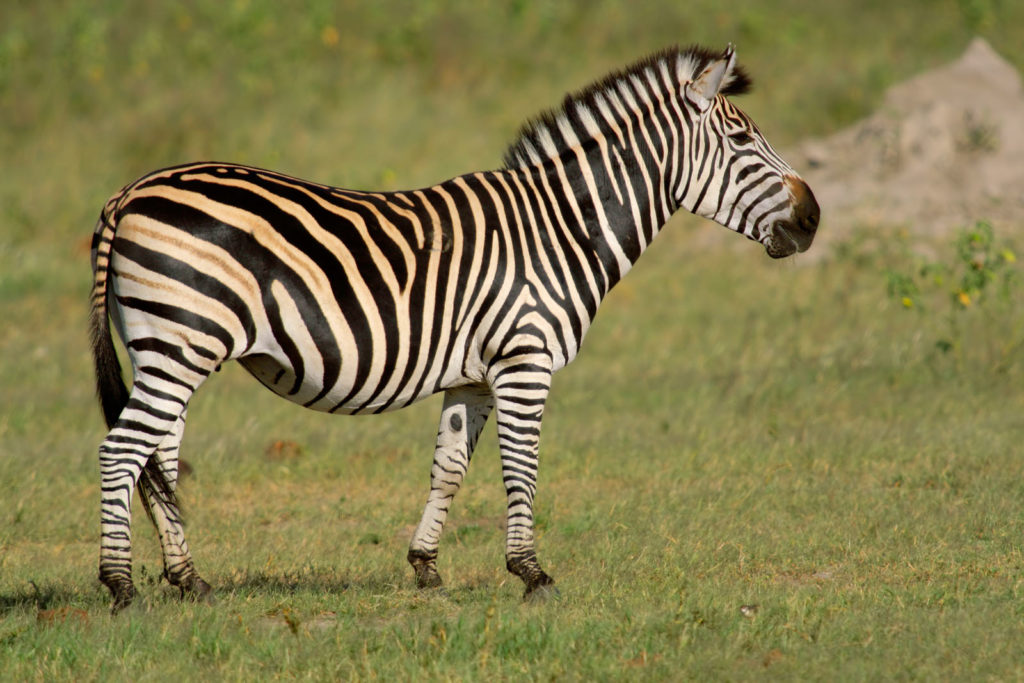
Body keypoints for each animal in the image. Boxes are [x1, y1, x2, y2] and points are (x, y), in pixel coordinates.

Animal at [90, 45, 823, 610]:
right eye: (741, 141)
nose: (813, 217)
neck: (562, 228)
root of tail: (130, 190)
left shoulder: (472, 374)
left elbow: (448, 466)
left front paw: (425, 566)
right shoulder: (525, 360)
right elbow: (521, 467)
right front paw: (532, 573)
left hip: (168, 347)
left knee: (159, 456)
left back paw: (189, 580)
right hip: (180, 343)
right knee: (122, 451)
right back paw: (121, 585)